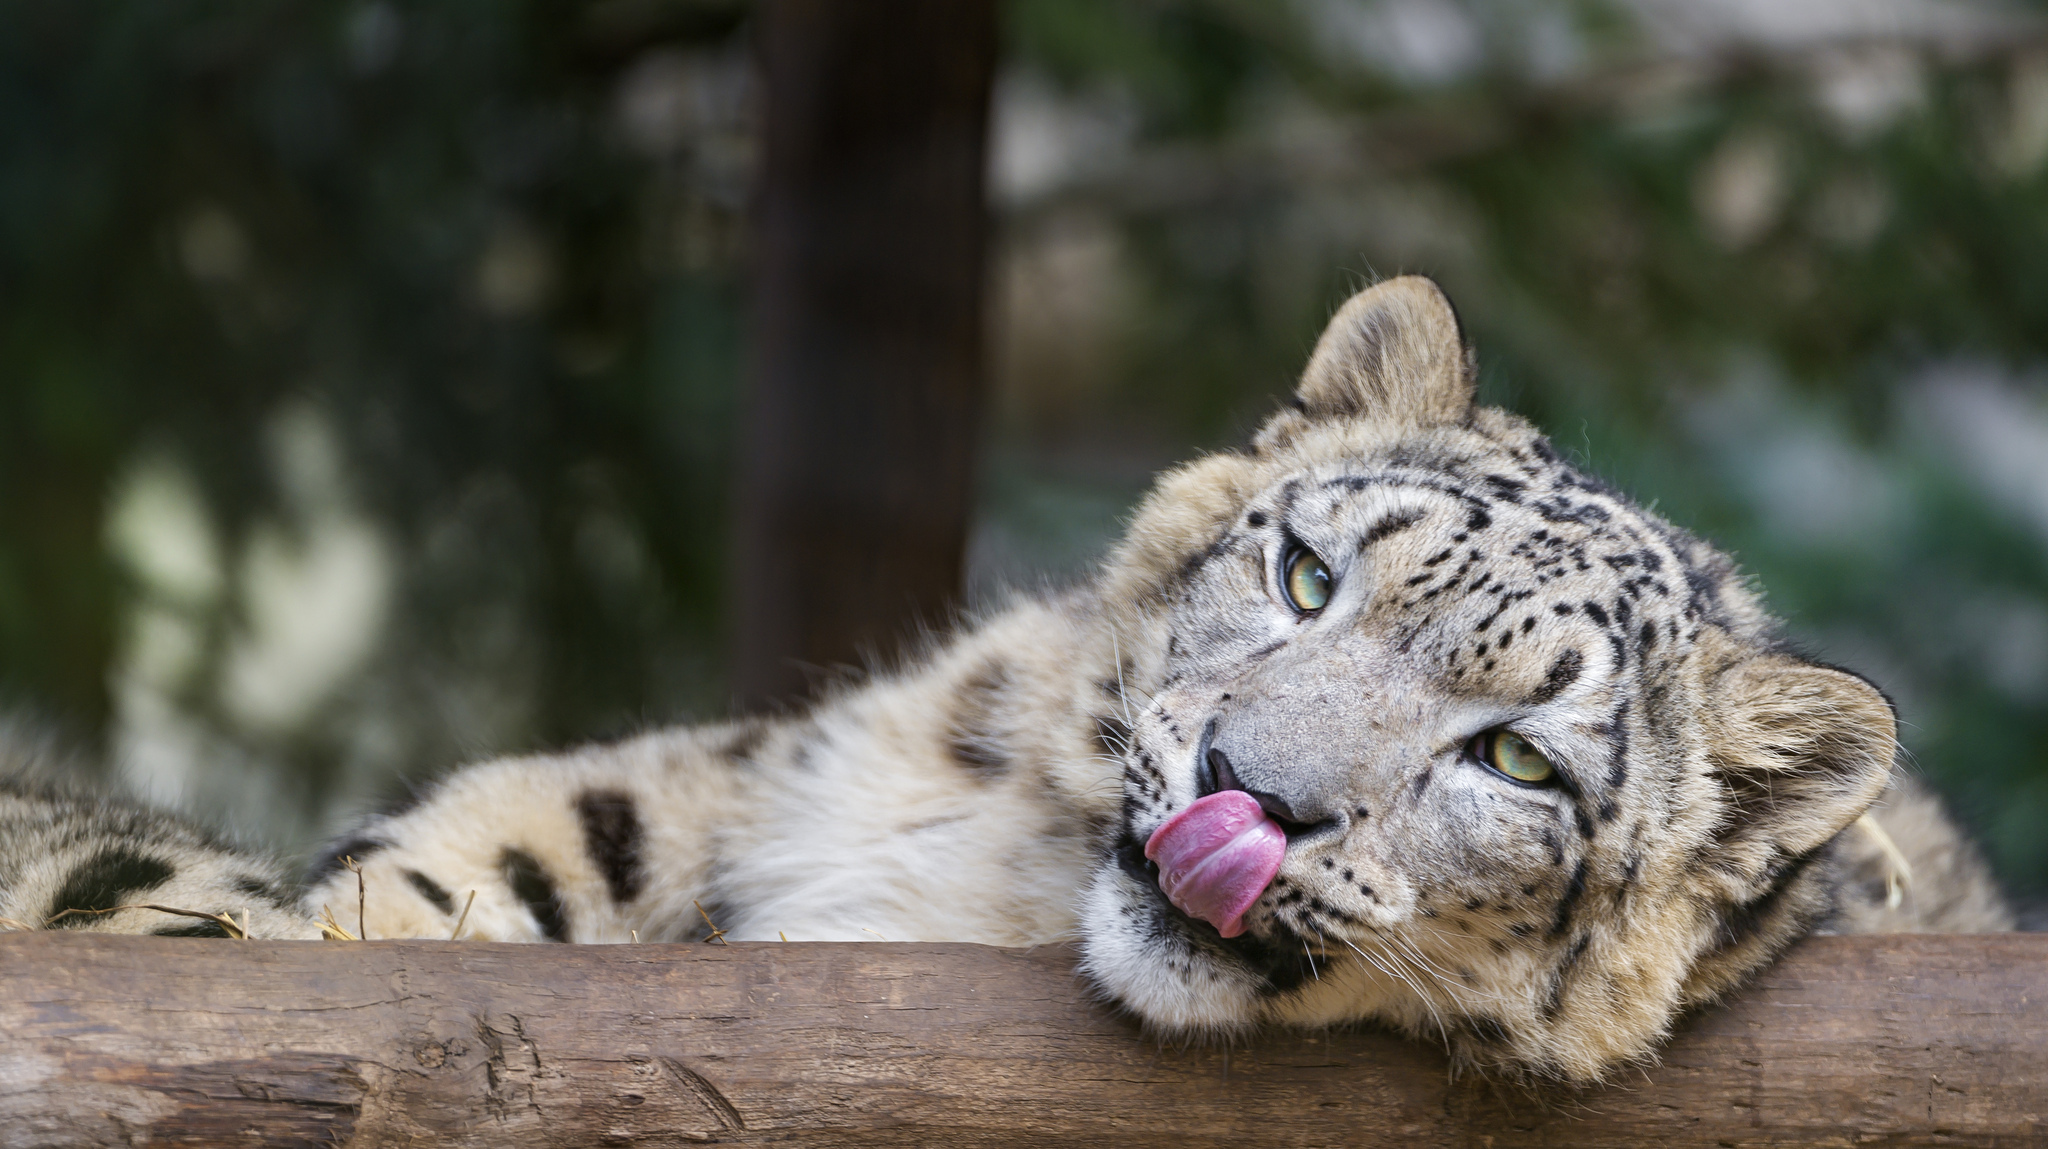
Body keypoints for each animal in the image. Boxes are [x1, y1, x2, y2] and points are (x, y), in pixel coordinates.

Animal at [4, 276, 2015, 1073]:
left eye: (1519, 759)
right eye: (1305, 572)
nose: (1250, 792)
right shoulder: (769, 760)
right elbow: (562, 811)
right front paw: (349, 920)